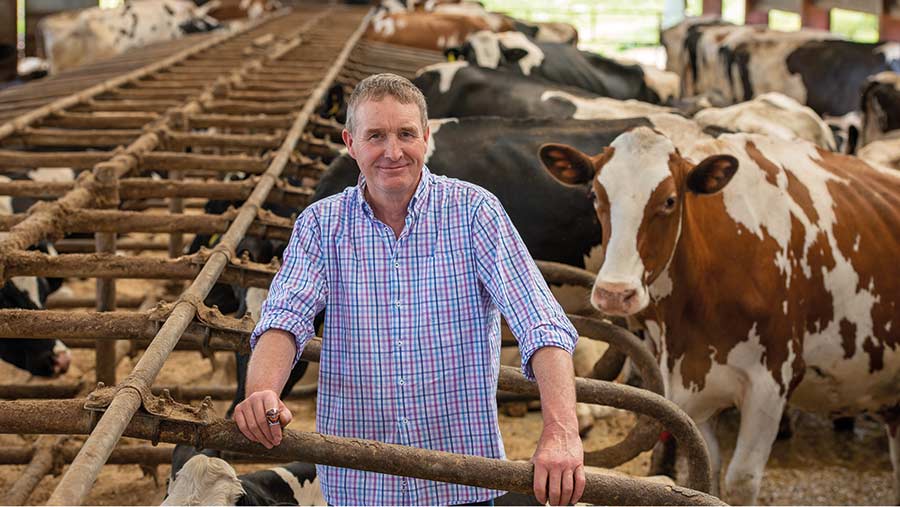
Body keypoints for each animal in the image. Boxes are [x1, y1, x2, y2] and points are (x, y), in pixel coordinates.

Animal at [536, 127, 900, 504]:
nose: (614, 293)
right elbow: (708, 468)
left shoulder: (771, 383)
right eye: (595, 195)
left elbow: (741, 479)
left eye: (669, 200)